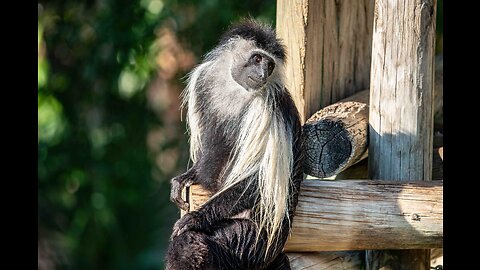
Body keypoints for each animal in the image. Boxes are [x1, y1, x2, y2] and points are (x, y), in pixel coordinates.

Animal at [167, 19, 304, 270]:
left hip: (250, 240)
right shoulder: (204, 80)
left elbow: (258, 178)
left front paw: (196, 218)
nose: (262, 73)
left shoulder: (267, 108)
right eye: (257, 59)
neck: (236, 88)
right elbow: (209, 144)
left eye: (270, 65)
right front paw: (186, 177)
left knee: (192, 244)